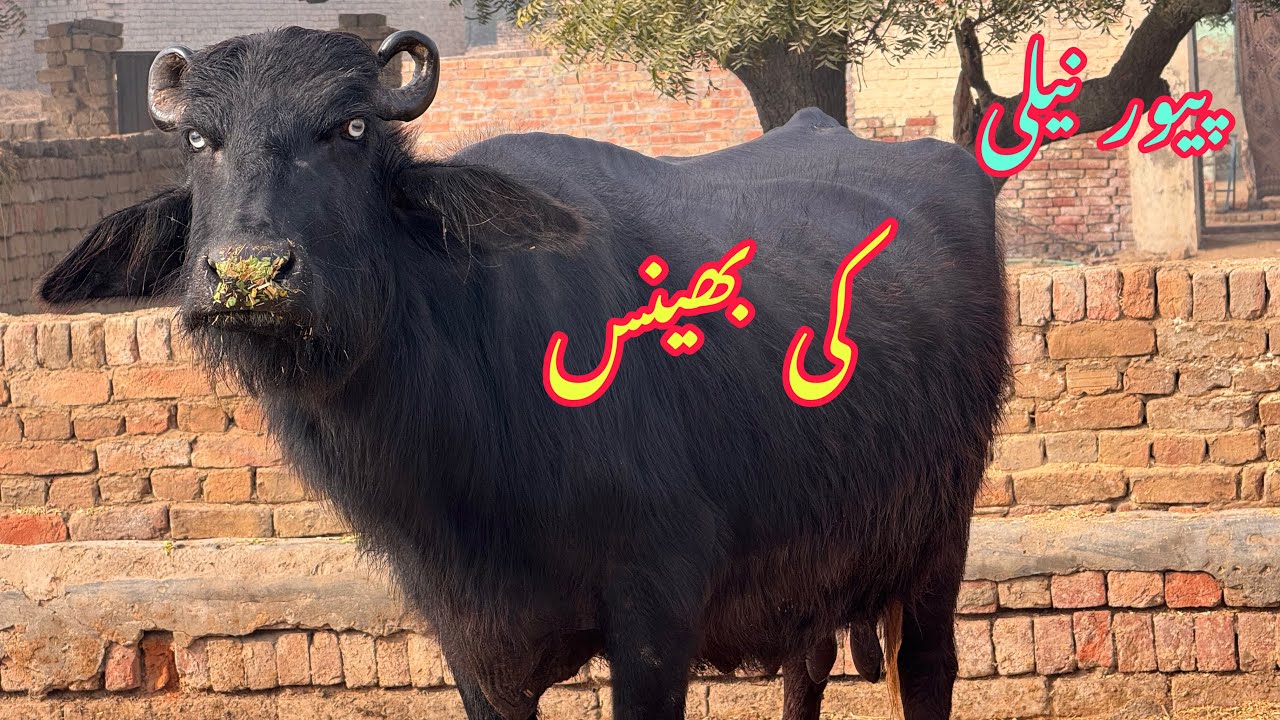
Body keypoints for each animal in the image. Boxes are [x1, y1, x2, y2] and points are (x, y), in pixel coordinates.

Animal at [38, 27, 1008, 720]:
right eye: (201, 140)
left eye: (349, 129)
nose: (248, 273)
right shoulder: (470, 638)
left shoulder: (656, 611)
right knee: (805, 672)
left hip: (940, 541)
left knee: (929, 671)